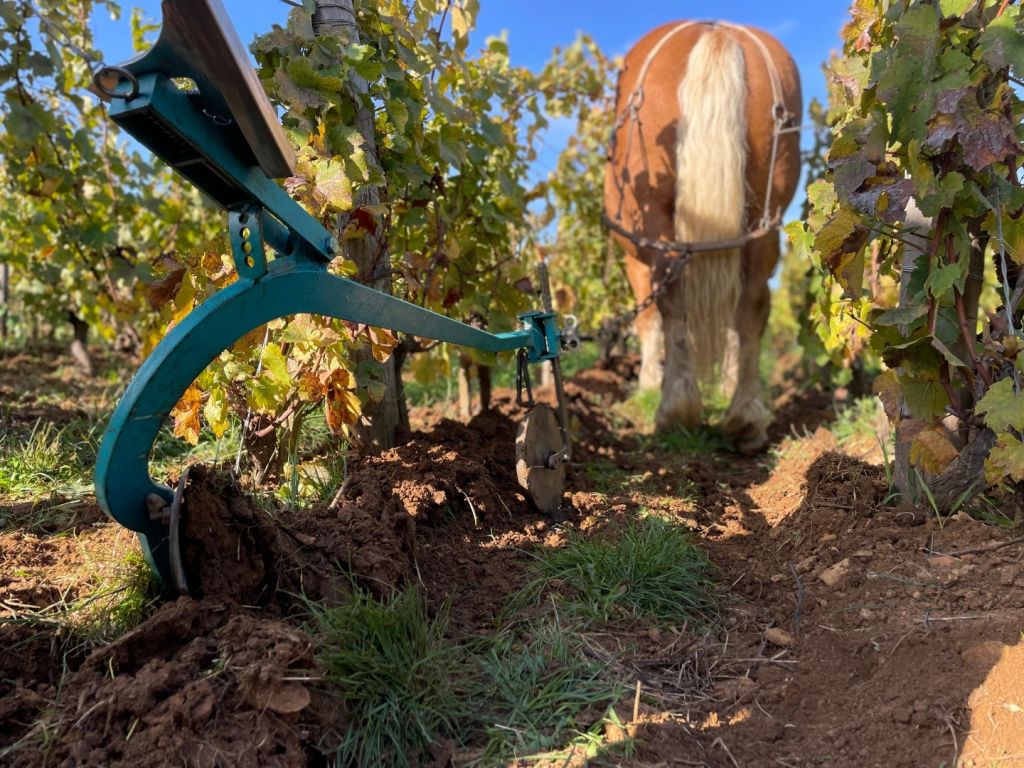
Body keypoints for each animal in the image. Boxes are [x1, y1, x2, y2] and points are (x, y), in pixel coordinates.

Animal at [602, 24, 802, 454]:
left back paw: (676, 407)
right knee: (752, 306)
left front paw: (647, 384)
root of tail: (715, 30)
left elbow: (648, 320)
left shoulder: (635, 259)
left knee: (672, 297)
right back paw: (745, 414)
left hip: (657, 222)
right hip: (764, 219)